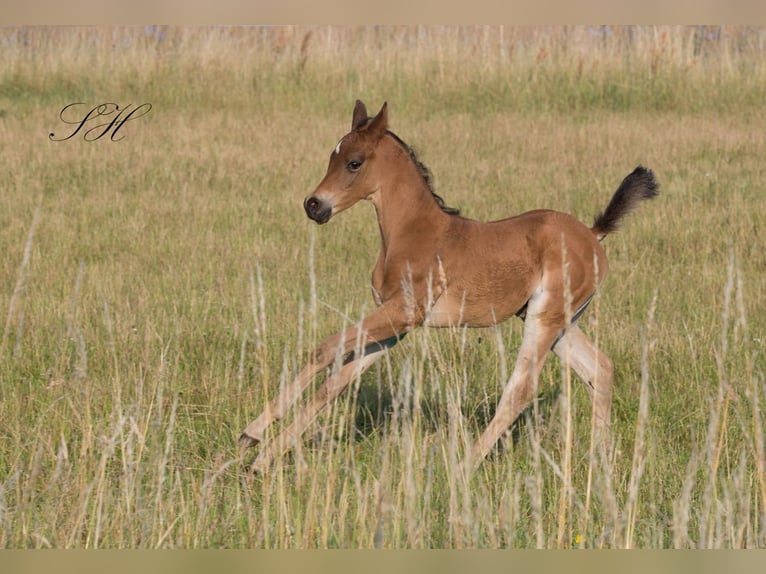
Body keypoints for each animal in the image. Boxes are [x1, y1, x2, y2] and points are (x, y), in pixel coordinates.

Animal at [242, 101, 660, 474]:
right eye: (333, 157)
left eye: (354, 162)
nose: (314, 205)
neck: (412, 232)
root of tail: (592, 234)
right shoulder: (394, 325)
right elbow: (337, 381)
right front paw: (261, 453)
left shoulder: (403, 313)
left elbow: (324, 350)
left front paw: (254, 439)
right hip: (557, 321)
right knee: (599, 368)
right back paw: (600, 460)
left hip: (546, 318)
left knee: (522, 389)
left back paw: (464, 465)